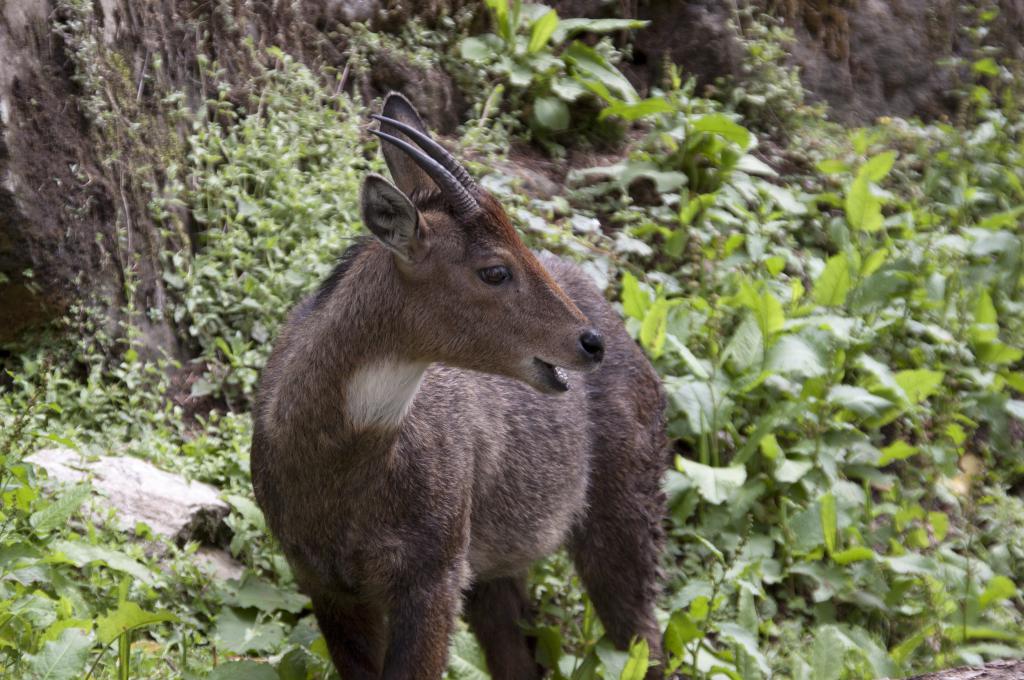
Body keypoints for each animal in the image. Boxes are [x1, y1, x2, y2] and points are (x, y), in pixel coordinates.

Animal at [246, 91, 663, 680]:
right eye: (494, 270)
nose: (588, 343)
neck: (338, 467)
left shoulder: (434, 576)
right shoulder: (324, 582)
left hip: (626, 511)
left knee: (646, 640)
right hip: (496, 570)